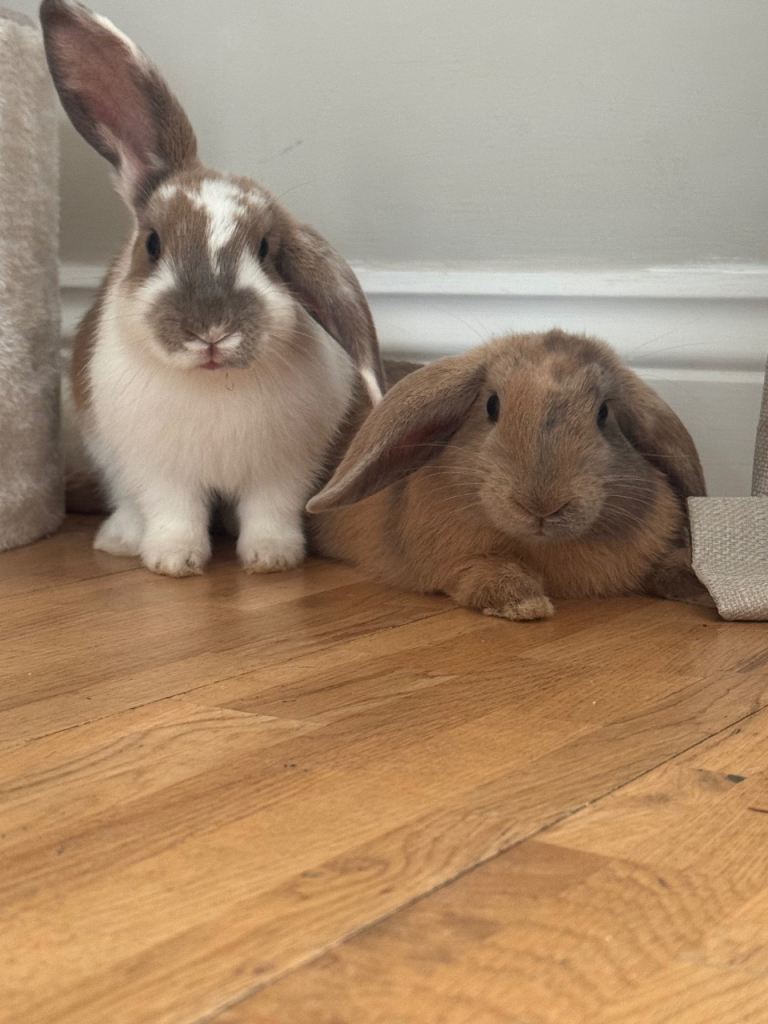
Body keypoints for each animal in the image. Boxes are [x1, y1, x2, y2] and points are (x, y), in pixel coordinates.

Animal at [40, 0, 384, 577]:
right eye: (152, 243)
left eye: (266, 249)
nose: (212, 331)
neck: (214, 386)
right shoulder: (157, 469)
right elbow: (173, 511)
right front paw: (173, 561)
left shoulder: (283, 470)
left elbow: (270, 511)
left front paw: (272, 559)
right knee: (127, 503)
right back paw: (120, 540)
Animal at [307, 330, 713, 620]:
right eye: (492, 405)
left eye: (603, 414)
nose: (542, 506)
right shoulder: (448, 561)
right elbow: (480, 571)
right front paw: (524, 603)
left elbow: (671, 564)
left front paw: (703, 587)